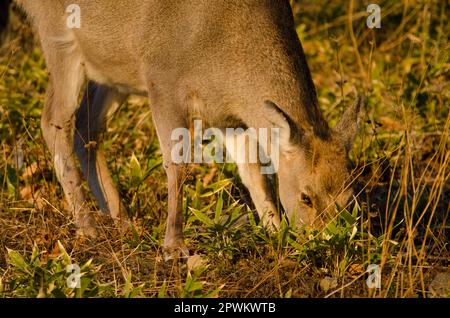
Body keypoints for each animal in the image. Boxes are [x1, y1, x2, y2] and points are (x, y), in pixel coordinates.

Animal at [15, 0, 364, 258]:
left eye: (349, 197)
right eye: (306, 197)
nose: (324, 244)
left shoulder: (227, 116)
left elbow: (253, 173)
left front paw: (274, 229)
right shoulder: (162, 81)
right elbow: (177, 165)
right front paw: (174, 246)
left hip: (112, 68)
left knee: (87, 126)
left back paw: (123, 222)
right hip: (60, 37)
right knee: (54, 120)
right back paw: (88, 226)